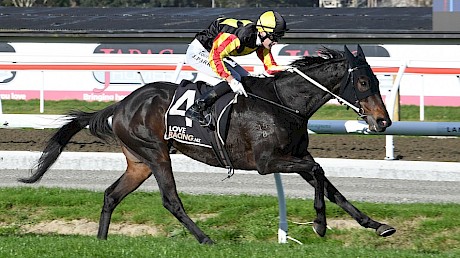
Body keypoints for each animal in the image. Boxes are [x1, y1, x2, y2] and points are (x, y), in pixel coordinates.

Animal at [20, 45, 396, 245]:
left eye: (379, 81)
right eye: (364, 82)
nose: (383, 122)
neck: (284, 103)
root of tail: (121, 104)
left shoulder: (296, 154)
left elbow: (332, 188)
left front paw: (376, 225)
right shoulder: (267, 163)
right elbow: (318, 172)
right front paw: (320, 224)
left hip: (139, 162)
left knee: (111, 194)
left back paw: (101, 240)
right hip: (156, 155)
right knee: (170, 200)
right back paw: (204, 238)